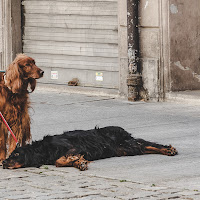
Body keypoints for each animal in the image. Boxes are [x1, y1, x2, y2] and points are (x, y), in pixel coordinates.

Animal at [1, 126, 177, 170]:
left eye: (15, 154)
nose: (3, 163)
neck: (43, 149)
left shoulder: (72, 147)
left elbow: (59, 160)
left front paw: (76, 161)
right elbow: (61, 161)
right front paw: (79, 162)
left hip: (126, 144)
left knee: (149, 144)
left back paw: (169, 149)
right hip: (124, 150)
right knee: (145, 147)